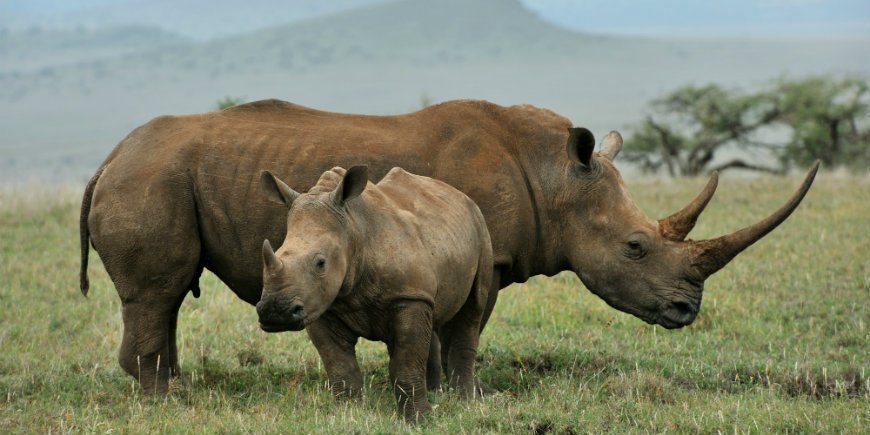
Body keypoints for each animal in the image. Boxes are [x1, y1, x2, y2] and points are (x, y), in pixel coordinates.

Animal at [79, 99, 819, 394]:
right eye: (636, 246)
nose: (688, 310)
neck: (554, 177)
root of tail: (108, 156)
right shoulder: (480, 251)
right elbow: (458, 328)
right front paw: (452, 390)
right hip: (150, 178)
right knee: (156, 292)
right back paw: (170, 401)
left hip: (157, 175)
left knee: (167, 297)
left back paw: (176, 389)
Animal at [257, 165, 492, 421]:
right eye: (278, 252)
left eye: (321, 263)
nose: (275, 312)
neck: (354, 229)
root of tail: (458, 193)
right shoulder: (320, 304)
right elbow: (340, 366)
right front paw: (347, 414)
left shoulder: (408, 296)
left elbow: (407, 362)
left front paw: (419, 420)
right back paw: (437, 393)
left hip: (481, 228)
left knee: (472, 309)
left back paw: (466, 402)